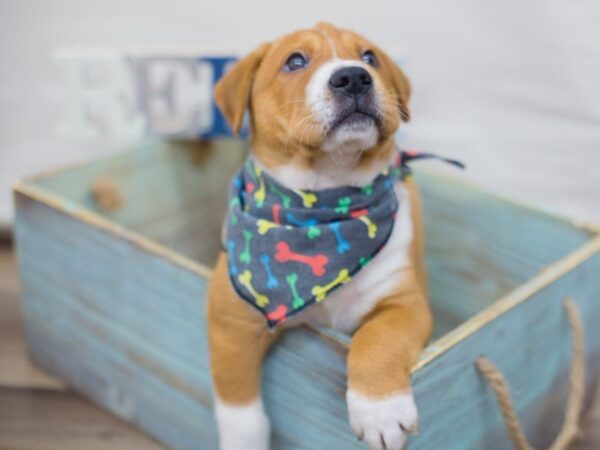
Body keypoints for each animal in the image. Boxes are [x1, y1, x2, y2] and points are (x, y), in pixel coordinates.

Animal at [206, 23, 432, 450]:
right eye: (295, 61)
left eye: (369, 57)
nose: (354, 77)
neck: (326, 193)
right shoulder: (230, 316)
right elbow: (238, 403)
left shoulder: (405, 302)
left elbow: (378, 338)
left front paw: (379, 410)